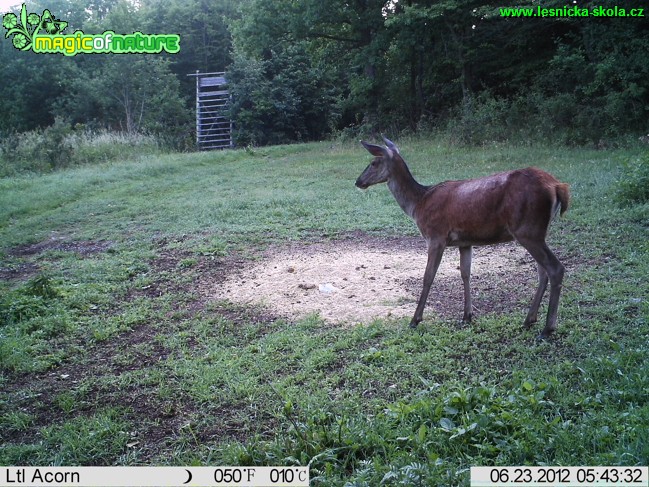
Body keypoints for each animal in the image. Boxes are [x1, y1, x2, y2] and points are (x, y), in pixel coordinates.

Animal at [356, 137, 568, 340]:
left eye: (373, 162)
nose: (358, 181)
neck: (418, 204)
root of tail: (557, 186)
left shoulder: (436, 236)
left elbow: (428, 276)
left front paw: (415, 319)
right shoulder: (465, 242)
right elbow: (465, 273)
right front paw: (467, 316)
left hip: (527, 230)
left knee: (555, 268)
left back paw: (547, 329)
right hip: (537, 232)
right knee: (543, 271)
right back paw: (529, 320)